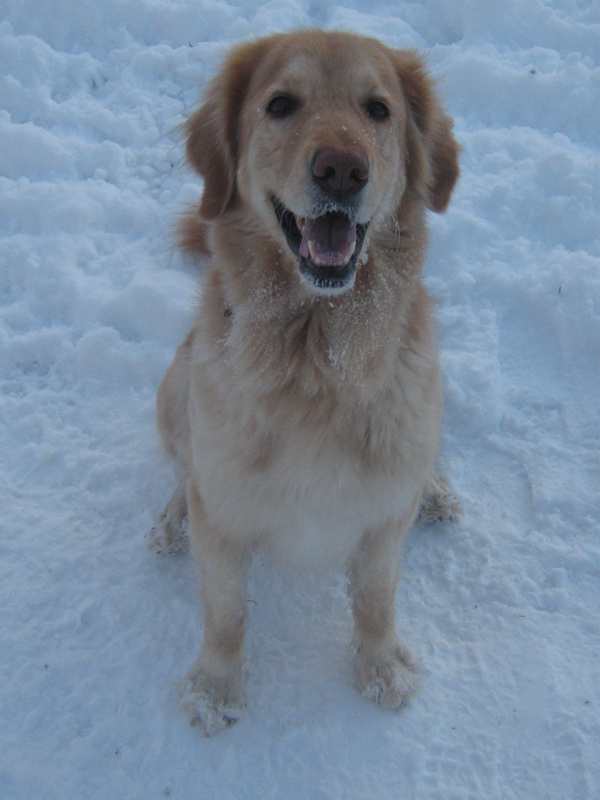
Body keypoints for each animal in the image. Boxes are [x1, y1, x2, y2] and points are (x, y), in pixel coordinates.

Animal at [150, 31, 460, 736]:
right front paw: (215, 687)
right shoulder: (226, 513)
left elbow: (375, 598)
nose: (342, 170)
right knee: (184, 468)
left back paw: (434, 488)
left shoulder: (382, 520)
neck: (318, 360)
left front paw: (380, 666)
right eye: (280, 104)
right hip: (173, 387)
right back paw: (172, 518)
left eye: (378, 110)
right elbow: (225, 609)